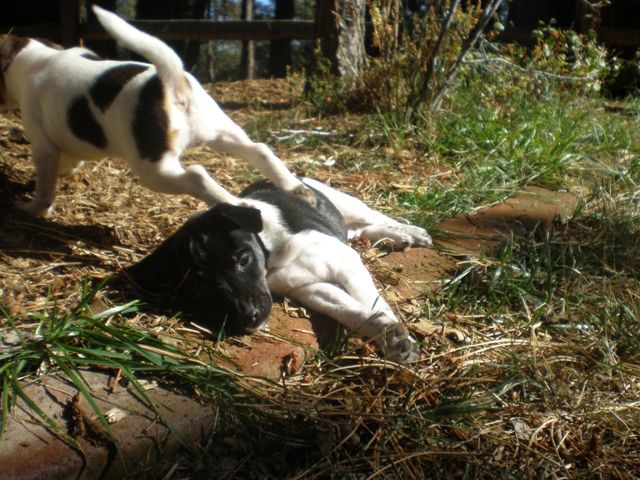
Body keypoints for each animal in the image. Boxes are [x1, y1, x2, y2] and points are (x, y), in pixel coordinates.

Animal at [0, 4, 312, 216]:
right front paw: (69, 170)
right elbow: (70, 160)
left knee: (197, 176)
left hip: (153, 169)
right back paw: (296, 188)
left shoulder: (43, 146)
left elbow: (45, 185)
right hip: (219, 131)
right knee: (260, 150)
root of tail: (169, 82)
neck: (35, 58)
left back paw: (240, 205)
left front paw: (34, 209)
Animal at [130, 178, 432, 362]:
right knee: (361, 229)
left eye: (243, 260)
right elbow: (350, 309)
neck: (272, 254)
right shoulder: (308, 288)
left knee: (375, 216)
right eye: (202, 287)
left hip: (346, 202)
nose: (248, 318)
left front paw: (399, 343)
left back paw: (410, 233)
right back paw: (395, 237)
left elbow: (372, 301)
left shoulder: (345, 262)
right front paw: (388, 333)